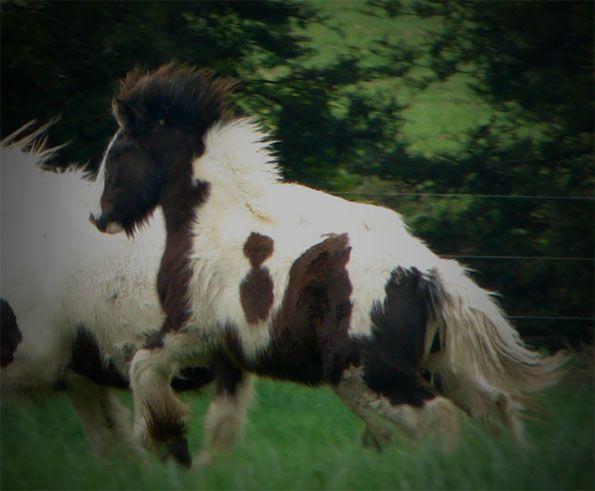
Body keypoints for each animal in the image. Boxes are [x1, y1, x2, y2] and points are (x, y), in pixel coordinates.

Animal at [91, 63, 564, 468]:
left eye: (117, 154)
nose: (99, 217)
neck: (208, 225)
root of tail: (428, 275)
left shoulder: (189, 330)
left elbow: (142, 368)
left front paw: (160, 437)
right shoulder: (229, 355)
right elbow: (222, 425)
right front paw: (200, 465)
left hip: (367, 374)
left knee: (439, 419)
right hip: (439, 363)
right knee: (495, 405)